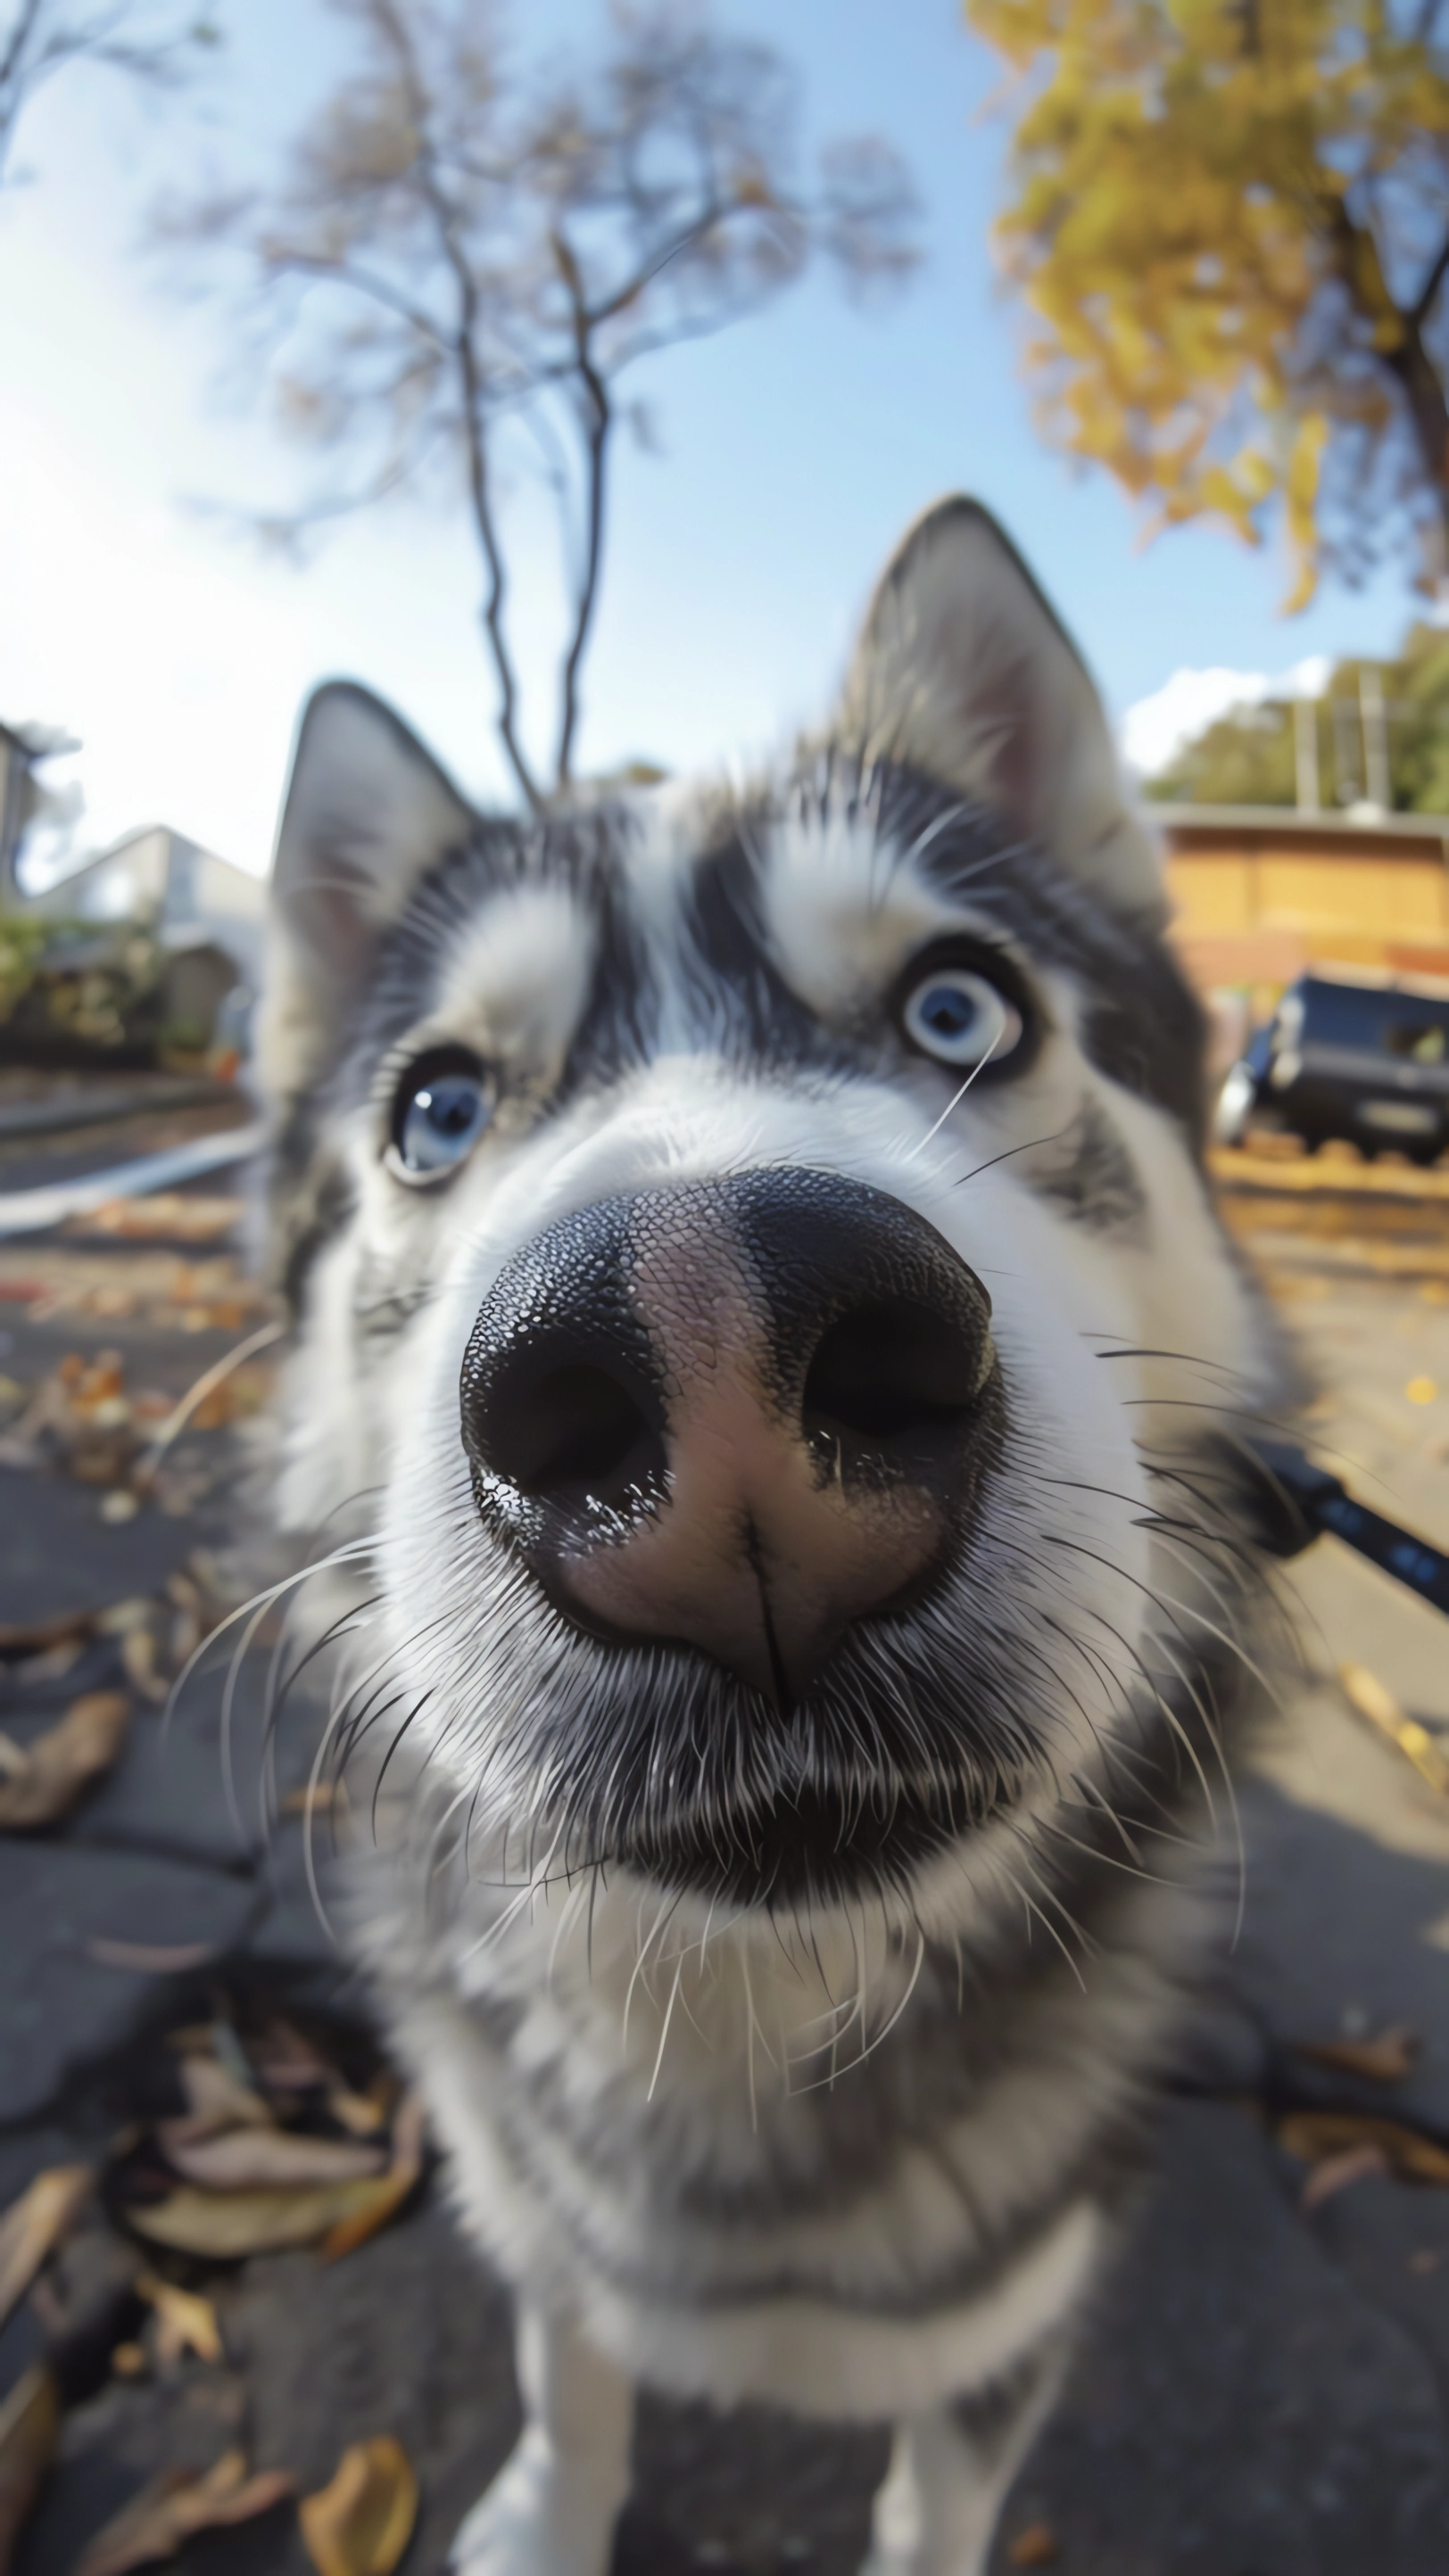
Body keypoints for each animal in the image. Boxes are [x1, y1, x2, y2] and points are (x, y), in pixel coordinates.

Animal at [256, 502, 1273, 2576]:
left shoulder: (998, 2322)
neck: (750, 2011)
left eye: (959, 1008)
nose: (705, 1343)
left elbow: (935, 2507)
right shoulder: (547, 2210)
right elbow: (573, 2370)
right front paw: (548, 2516)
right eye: (437, 1110)